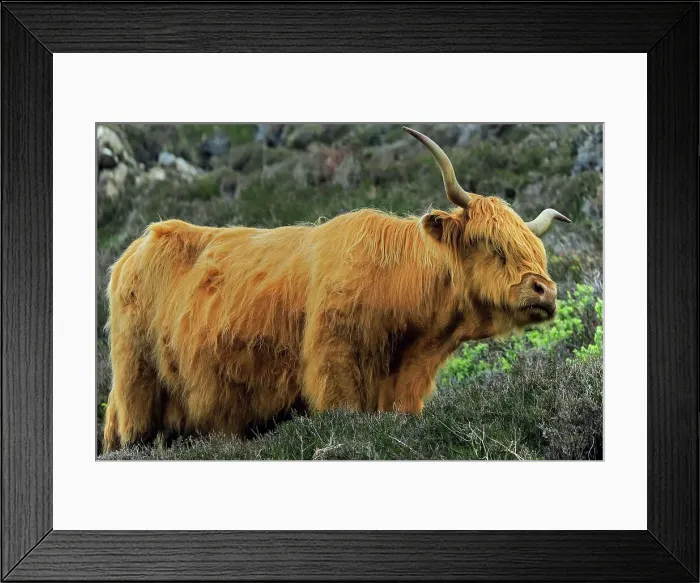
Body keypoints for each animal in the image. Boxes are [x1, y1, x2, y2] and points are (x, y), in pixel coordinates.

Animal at [102, 126, 570, 452]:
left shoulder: (405, 393)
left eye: (536, 251)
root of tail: (138, 244)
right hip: (138, 393)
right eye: (492, 244)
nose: (545, 292)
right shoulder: (336, 374)